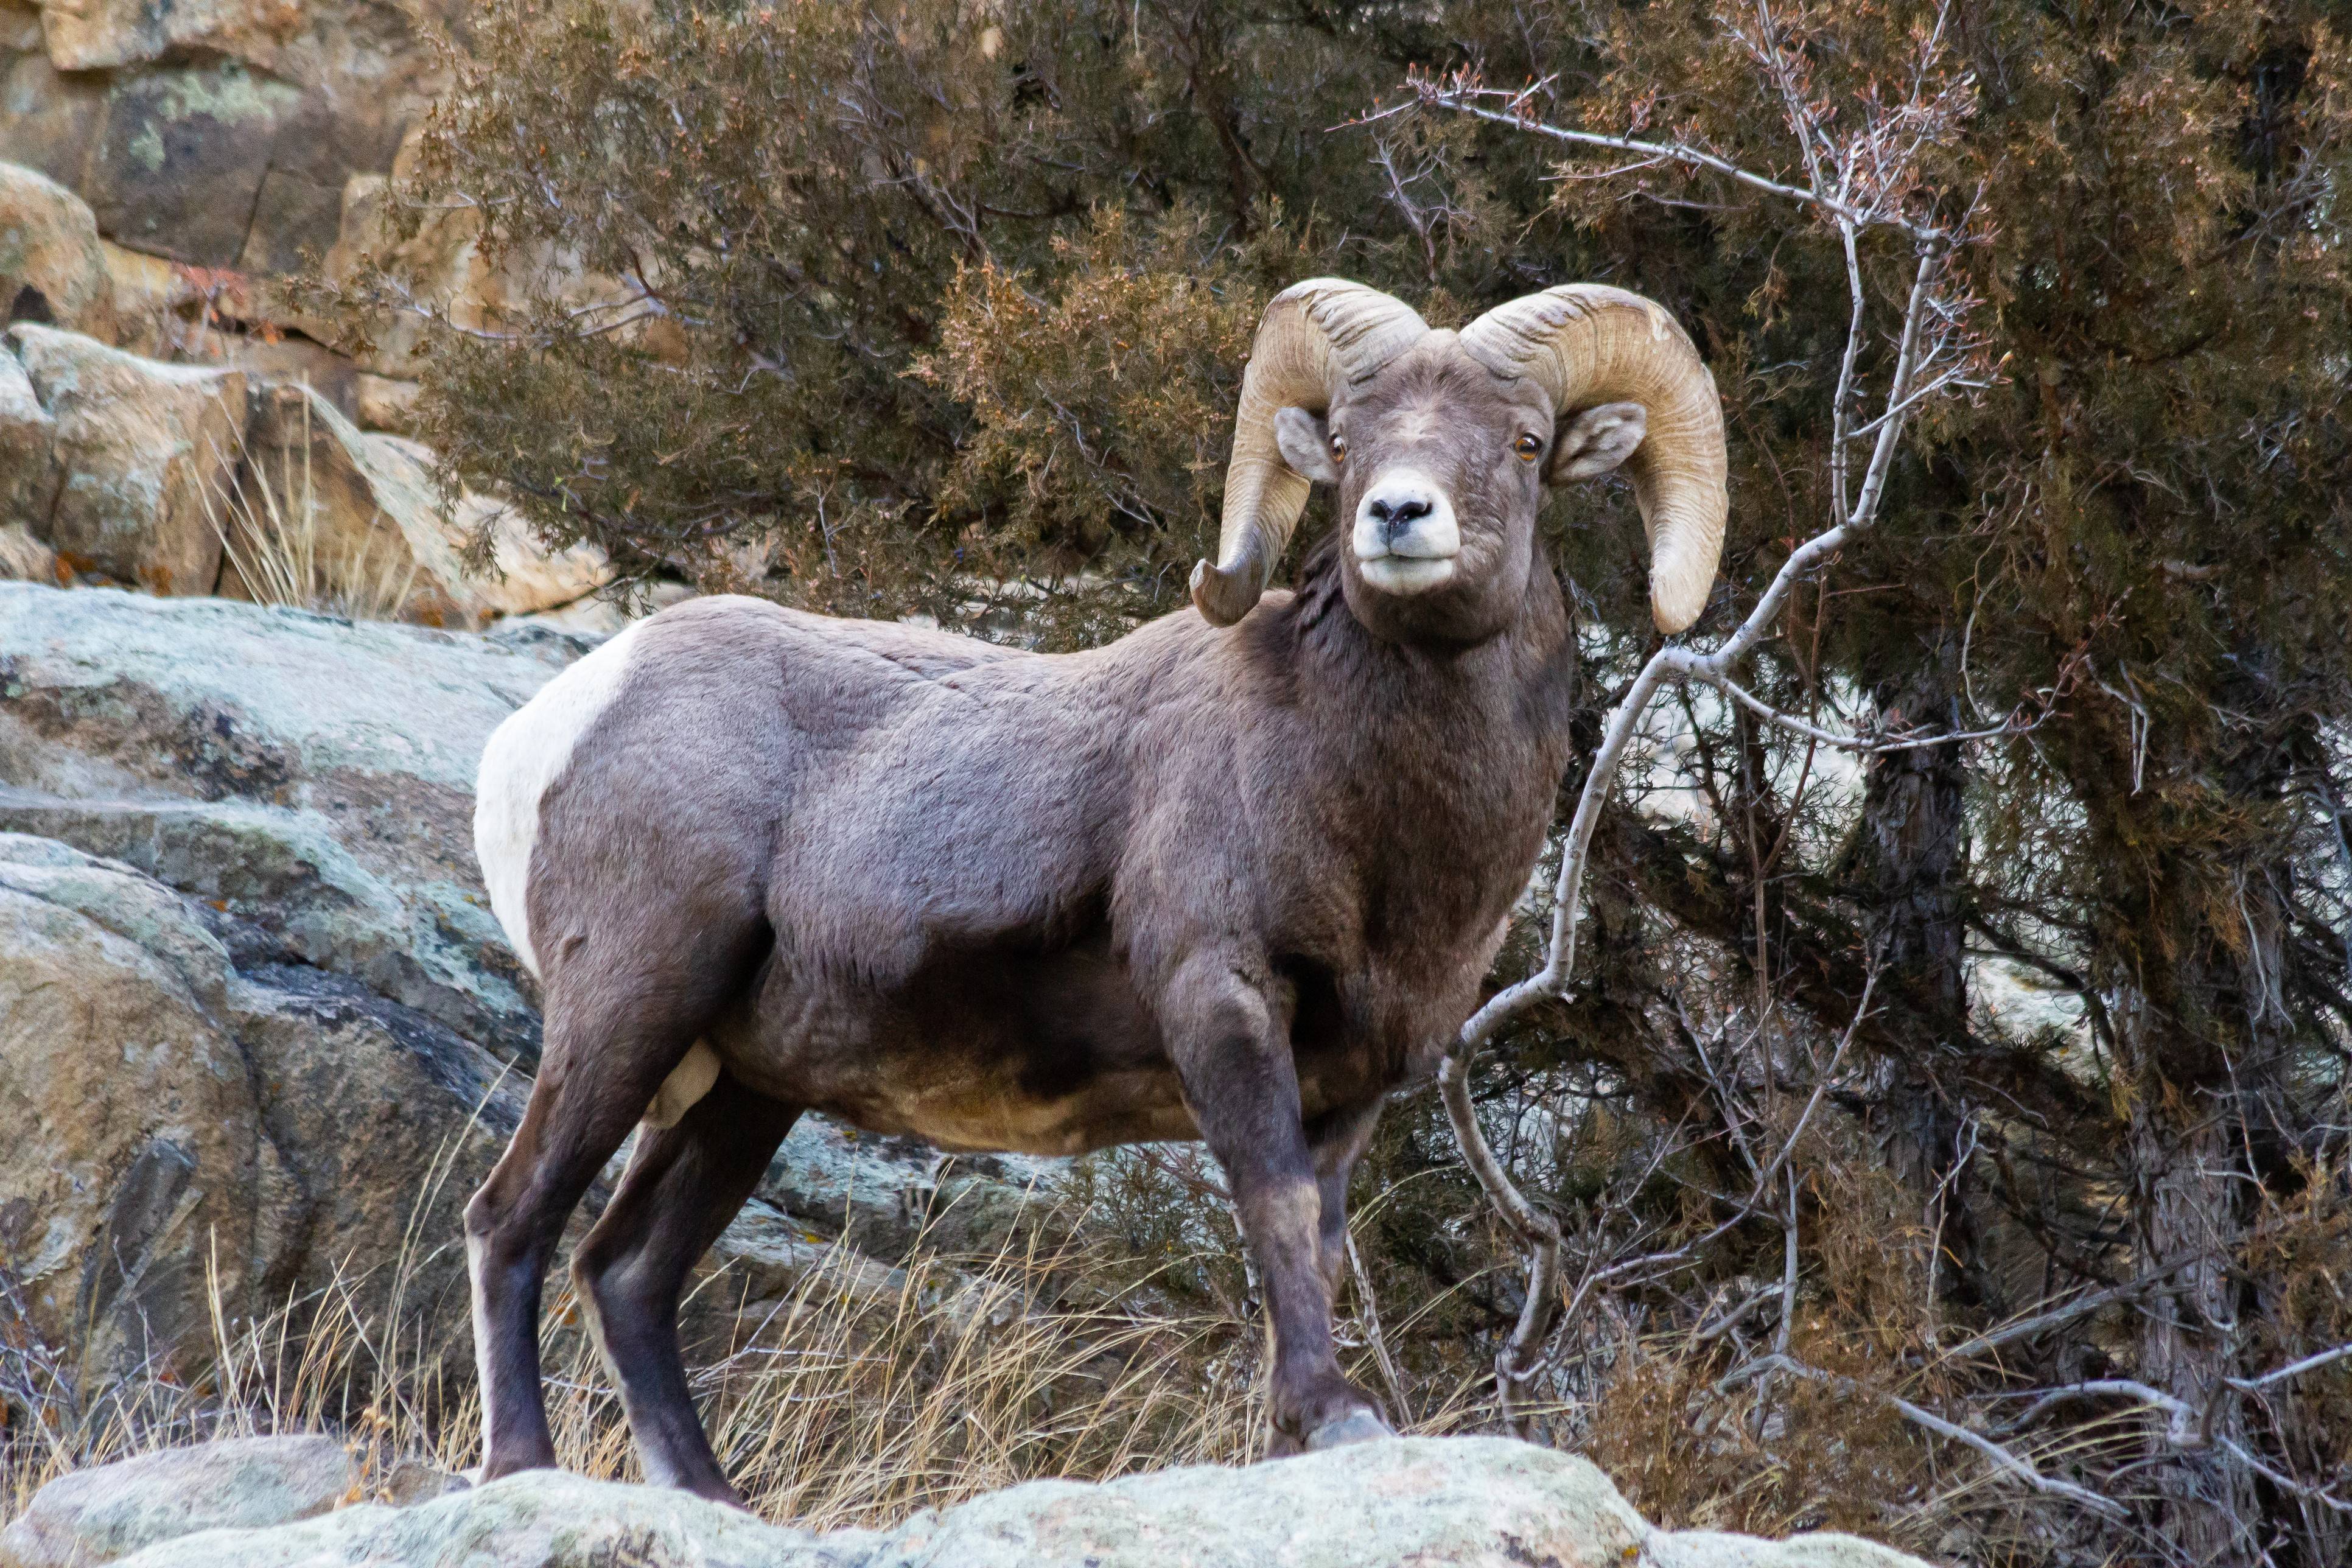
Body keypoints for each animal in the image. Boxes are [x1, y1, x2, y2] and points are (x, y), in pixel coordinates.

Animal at [467, 277, 1728, 1499]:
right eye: (1345, 438)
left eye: (1522, 442)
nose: (1397, 516)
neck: (1373, 830)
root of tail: (547, 727)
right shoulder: (1221, 1000)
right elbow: (1270, 1205)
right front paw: (1332, 1417)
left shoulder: (1357, 1080)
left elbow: (1319, 1241)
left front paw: (1294, 1435)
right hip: (628, 1009)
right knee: (510, 1219)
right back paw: (520, 1467)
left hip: (739, 1092)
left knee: (626, 1272)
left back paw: (710, 1499)